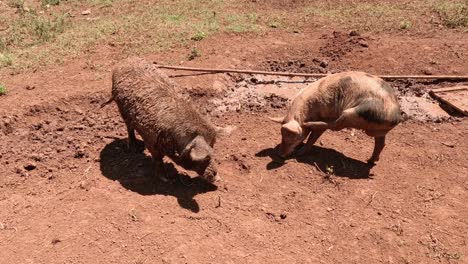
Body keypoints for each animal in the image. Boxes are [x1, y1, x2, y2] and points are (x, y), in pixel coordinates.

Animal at [270, 71, 402, 164]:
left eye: (294, 138)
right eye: (281, 135)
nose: (280, 155)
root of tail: (396, 116)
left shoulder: (322, 118)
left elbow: (312, 138)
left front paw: (299, 152)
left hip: (352, 113)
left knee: (334, 125)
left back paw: (310, 123)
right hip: (375, 128)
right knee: (381, 143)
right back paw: (370, 161)